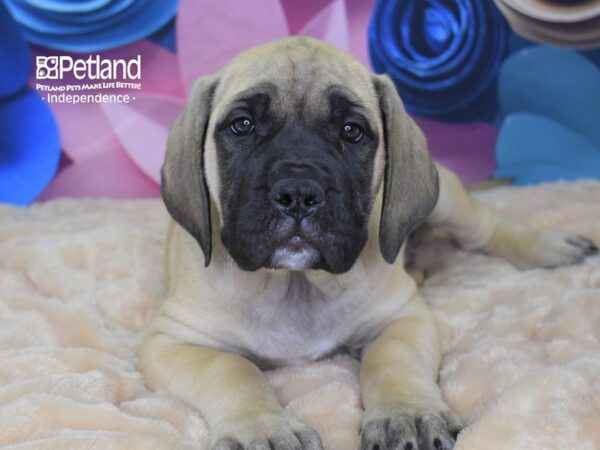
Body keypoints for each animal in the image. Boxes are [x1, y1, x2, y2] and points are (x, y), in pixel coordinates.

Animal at [139, 37, 596, 448]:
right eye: (242, 125)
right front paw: (263, 427)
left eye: (351, 131)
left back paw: (546, 246)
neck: (297, 284)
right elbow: (232, 369)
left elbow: (390, 359)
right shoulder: (173, 341)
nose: (298, 194)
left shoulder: (404, 317)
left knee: (485, 227)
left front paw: (406, 413)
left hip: (447, 200)